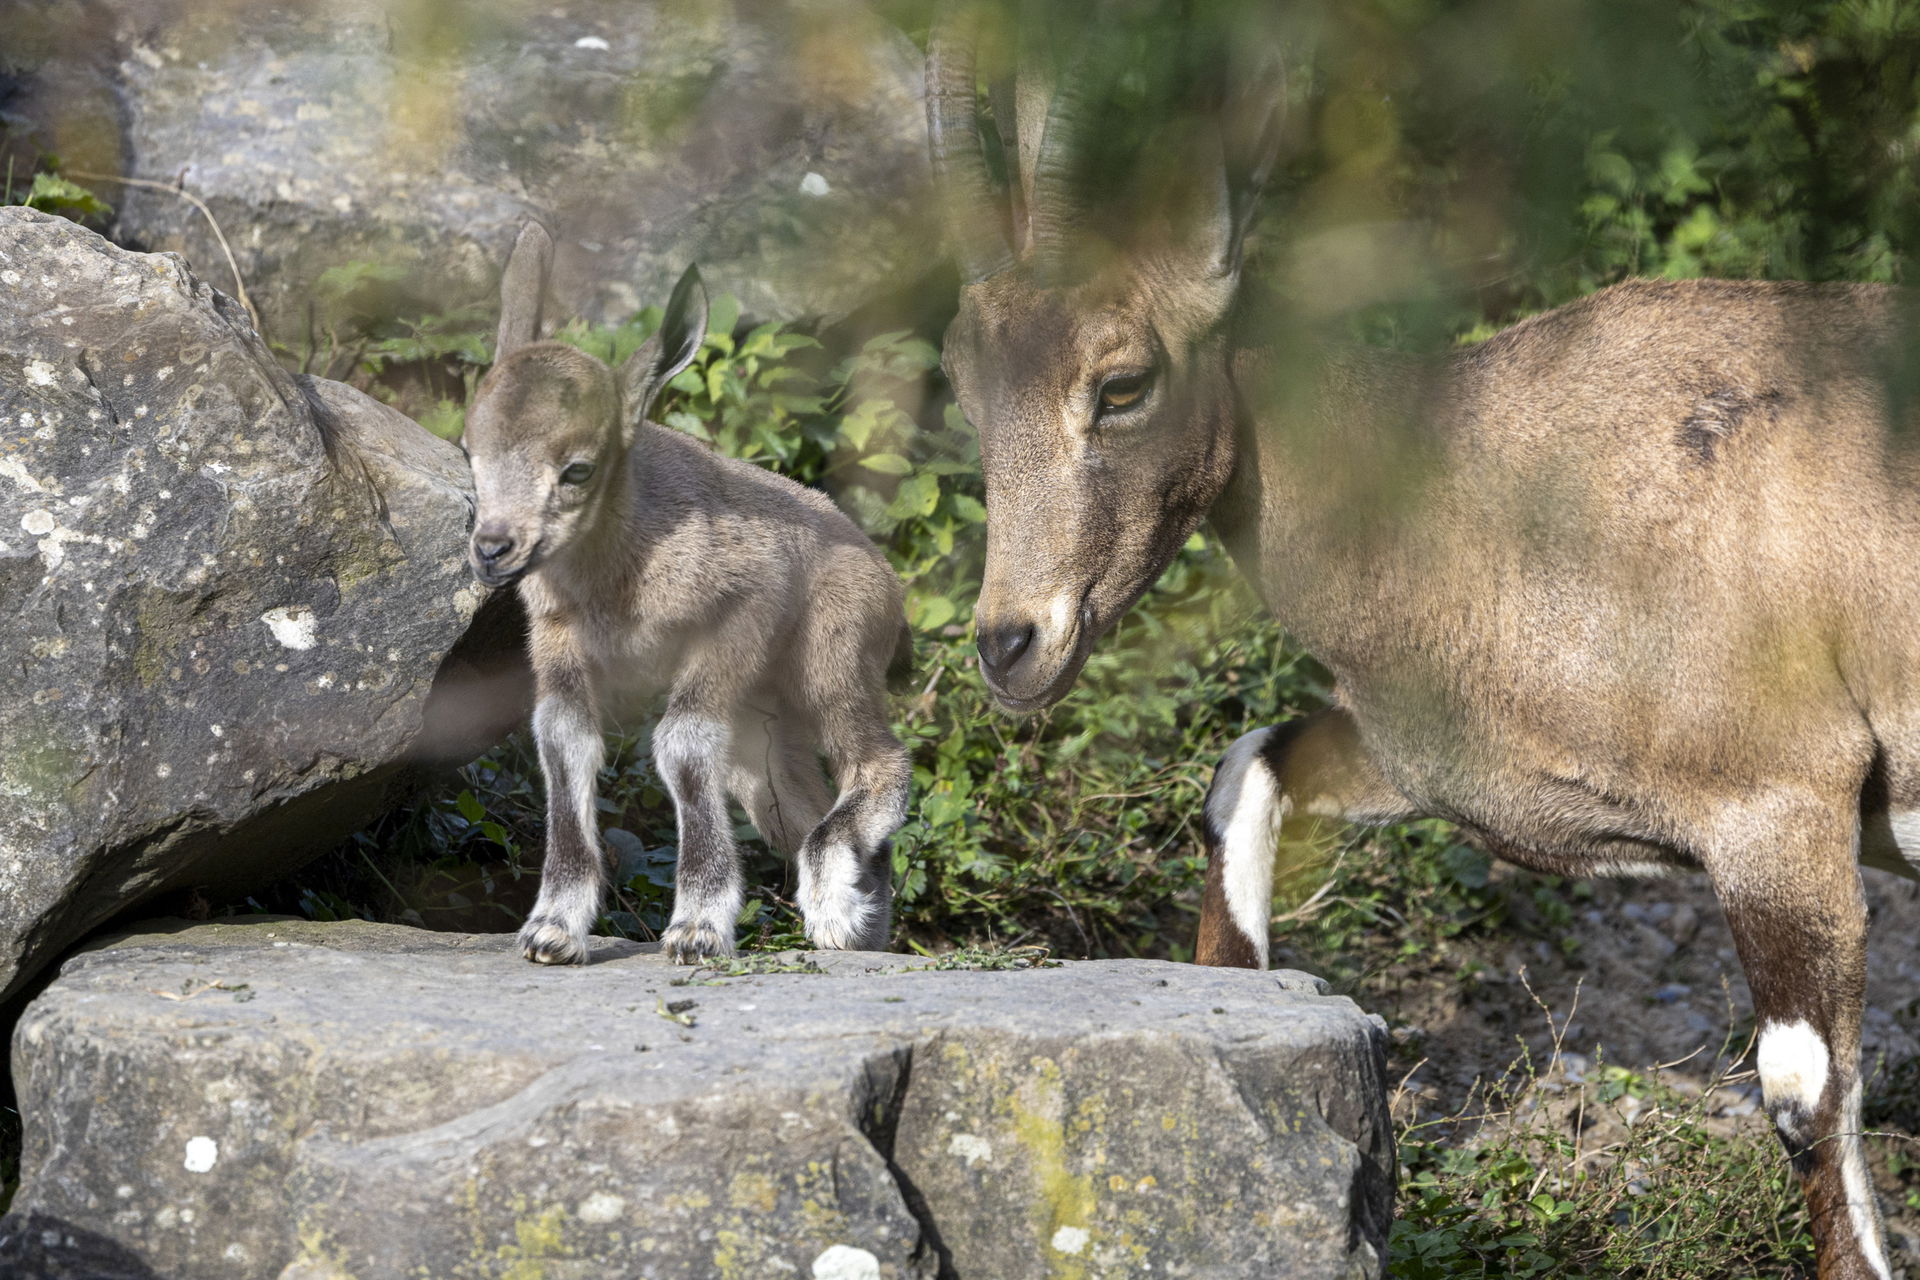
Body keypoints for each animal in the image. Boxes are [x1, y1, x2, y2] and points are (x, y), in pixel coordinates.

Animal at [462, 222, 913, 965]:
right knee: (794, 799)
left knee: (878, 759)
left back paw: (833, 911)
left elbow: (681, 742)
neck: (619, 580)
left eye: (578, 469)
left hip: (833, 658)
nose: (494, 549)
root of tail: (887, 580)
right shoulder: (557, 642)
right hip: (764, 729)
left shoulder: (736, 614)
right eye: (470, 452)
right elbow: (563, 741)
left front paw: (697, 929)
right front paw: (553, 929)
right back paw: (858, 924)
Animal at [928, 8, 1919, 1277]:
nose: (1012, 641)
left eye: (1122, 382)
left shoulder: (1781, 800)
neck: (1484, 486)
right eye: (964, 385)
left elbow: (1804, 1094)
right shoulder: (1440, 758)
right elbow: (1245, 770)